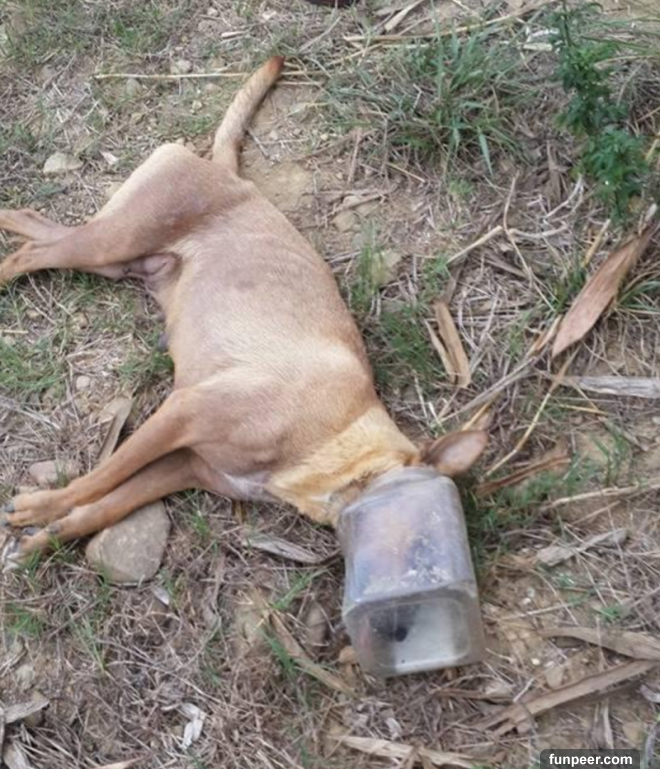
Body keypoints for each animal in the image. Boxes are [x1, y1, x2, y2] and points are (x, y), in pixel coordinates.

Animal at [0, 57, 487, 567]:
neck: (329, 438)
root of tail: (226, 172)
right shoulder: (181, 415)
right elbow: (102, 477)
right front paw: (42, 507)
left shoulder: (187, 465)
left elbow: (107, 505)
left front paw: (44, 538)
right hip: (113, 241)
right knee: (29, 250)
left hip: (114, 259)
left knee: (35, 230)